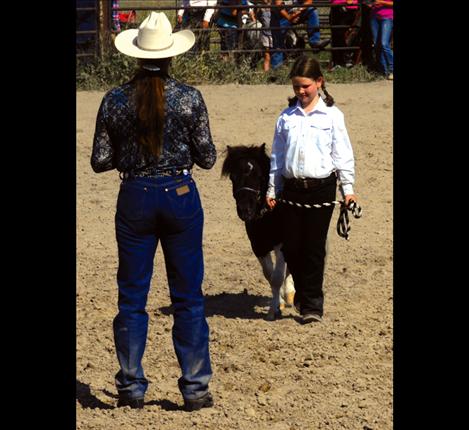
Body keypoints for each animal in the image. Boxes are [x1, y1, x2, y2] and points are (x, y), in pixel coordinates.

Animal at [221, 144, 294, 320]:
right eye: (233, 177)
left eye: (259, 176)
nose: (245, 210)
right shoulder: (258, 246)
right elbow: (269, 275)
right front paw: (278, 303)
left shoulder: (281, 244)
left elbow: (277, 277)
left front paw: (273, 310)